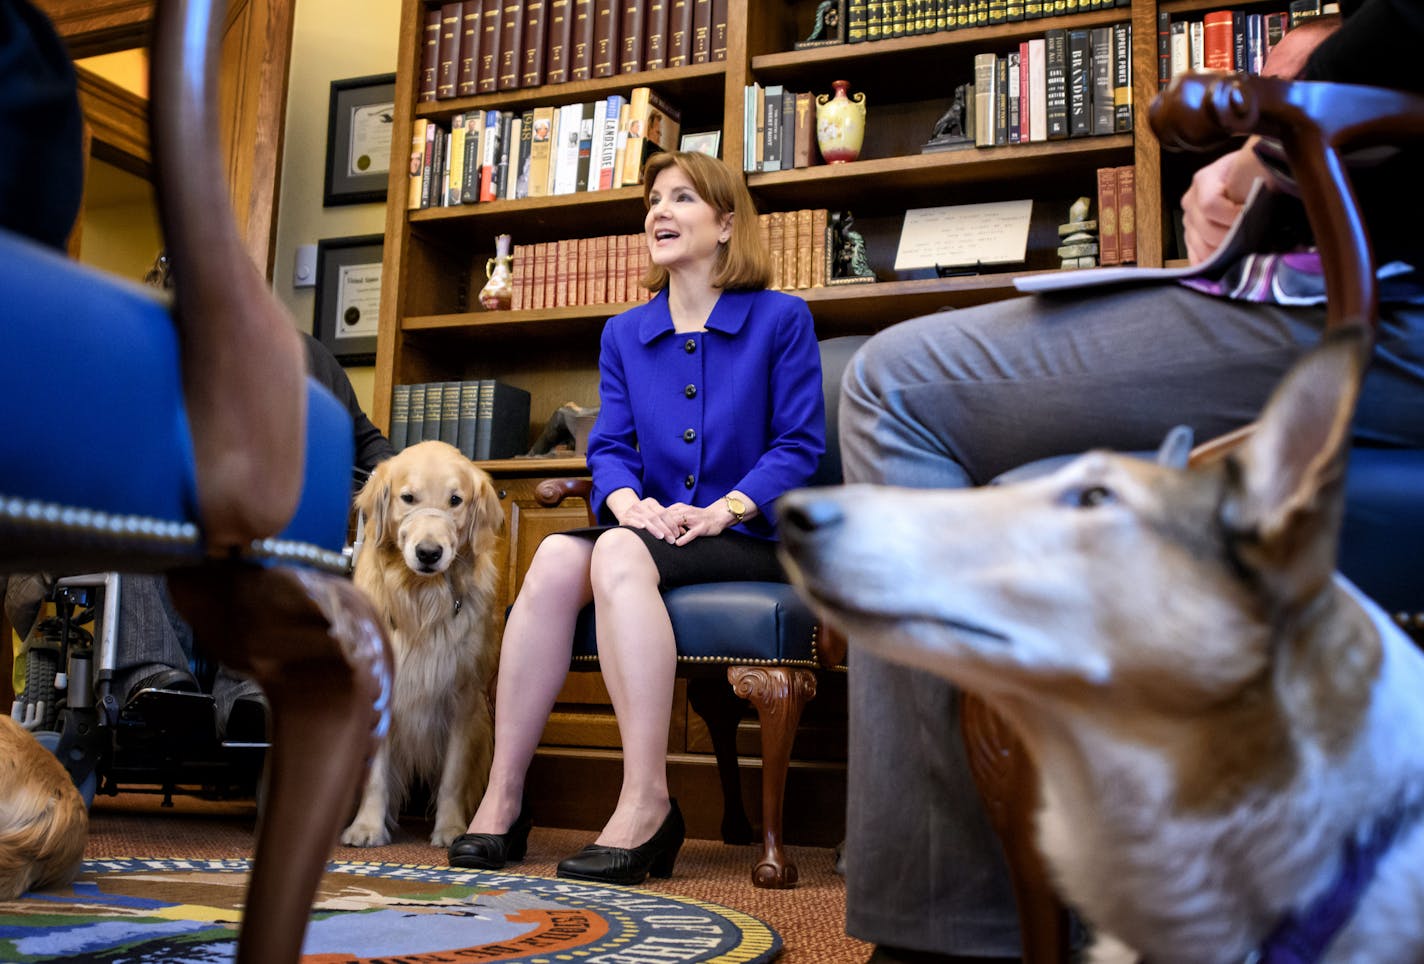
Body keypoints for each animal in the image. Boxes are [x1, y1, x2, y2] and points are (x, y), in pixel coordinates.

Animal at [340, 438, 506, 848]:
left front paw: (451, 829)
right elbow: (376, 776)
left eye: (455, 500)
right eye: (408, 498)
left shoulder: (463, 698)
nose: (429, 553)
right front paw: (367, 827)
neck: (421, 598)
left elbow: (452, 778)